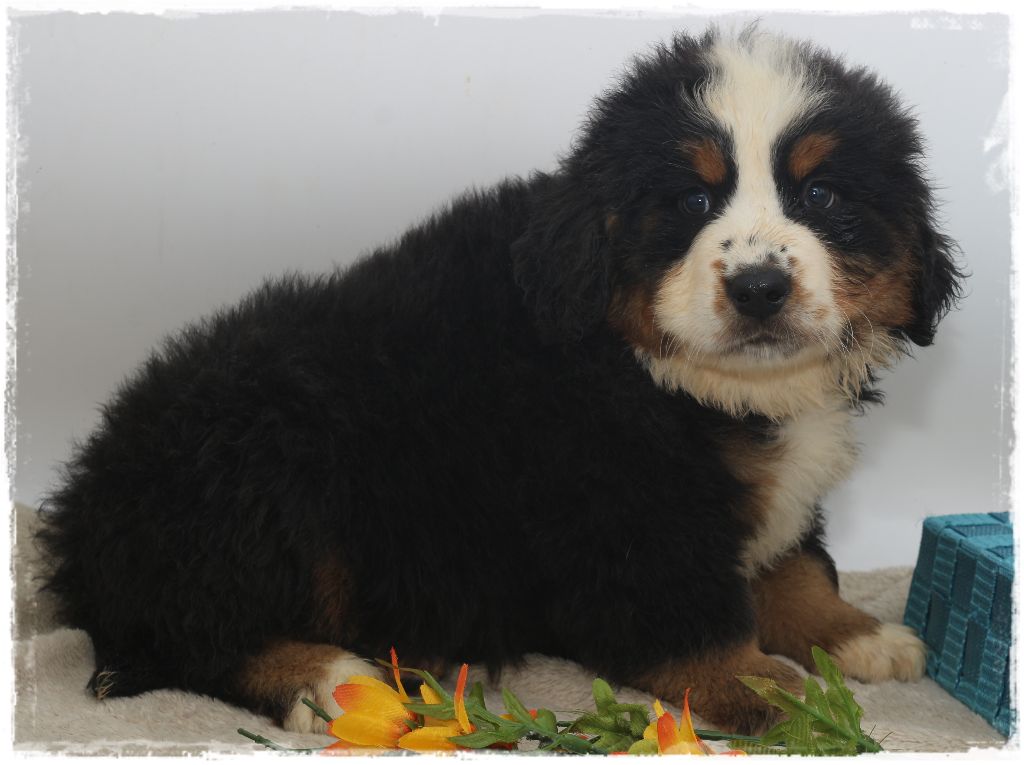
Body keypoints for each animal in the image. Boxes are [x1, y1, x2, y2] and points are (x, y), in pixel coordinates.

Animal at [37, 27, 962, 736]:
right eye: (692, 202)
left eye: (821, 194)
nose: (760, 287)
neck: (682, 379)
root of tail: (83, 516)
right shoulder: (626, 516)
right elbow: (694, 622)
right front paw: (782, 695)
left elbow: (797, 564)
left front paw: (857, 635)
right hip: (263, 457)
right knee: (184, 635)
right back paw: (327, 677)